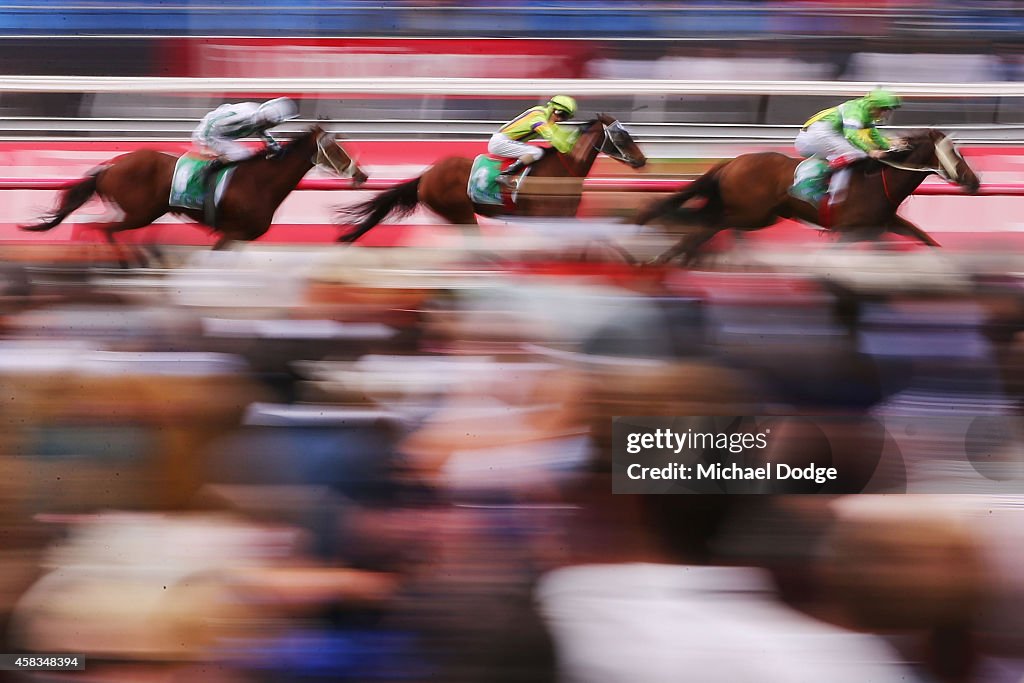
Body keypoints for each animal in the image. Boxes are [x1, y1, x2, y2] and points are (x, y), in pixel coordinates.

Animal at [20, 124, 368, 260]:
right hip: (140, 212)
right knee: (101, 228)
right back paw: (126, 262)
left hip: (143, 212)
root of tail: (108, 166)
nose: (361, 175)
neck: (260, 182)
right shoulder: (231, 232)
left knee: (98, 227)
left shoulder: (238, 238)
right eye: (334, 149)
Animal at [337, 116, 647, 244]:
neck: (563, 170)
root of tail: (427, 175)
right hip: (461, 213)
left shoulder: (566, 219)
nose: (642, 160)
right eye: (620, 135)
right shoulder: (548, 219)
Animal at [634, 129, 978, 266]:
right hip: (750, 214)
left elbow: (925, 238)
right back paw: (663, 258)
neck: (878, 181)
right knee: (707, 228)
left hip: (755, 216)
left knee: (708, 226)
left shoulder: (883, 225)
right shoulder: (849, 232)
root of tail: (731, 162)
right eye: (953, 152)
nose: (974, 182)